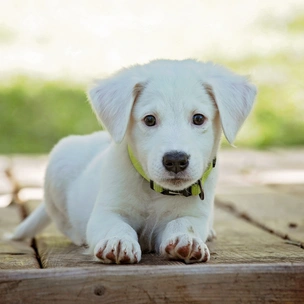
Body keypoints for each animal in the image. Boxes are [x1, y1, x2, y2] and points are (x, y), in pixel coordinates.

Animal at [13, 59, 256, 264]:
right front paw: (118, 241)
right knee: (65, 224)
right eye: (149, 120)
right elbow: (117, 226)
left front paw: (186, 240)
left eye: (198, 118)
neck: (154, 191)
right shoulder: (106, 212)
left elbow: (183, 223)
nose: (176, 160)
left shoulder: (195, 215)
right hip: (58, 165)